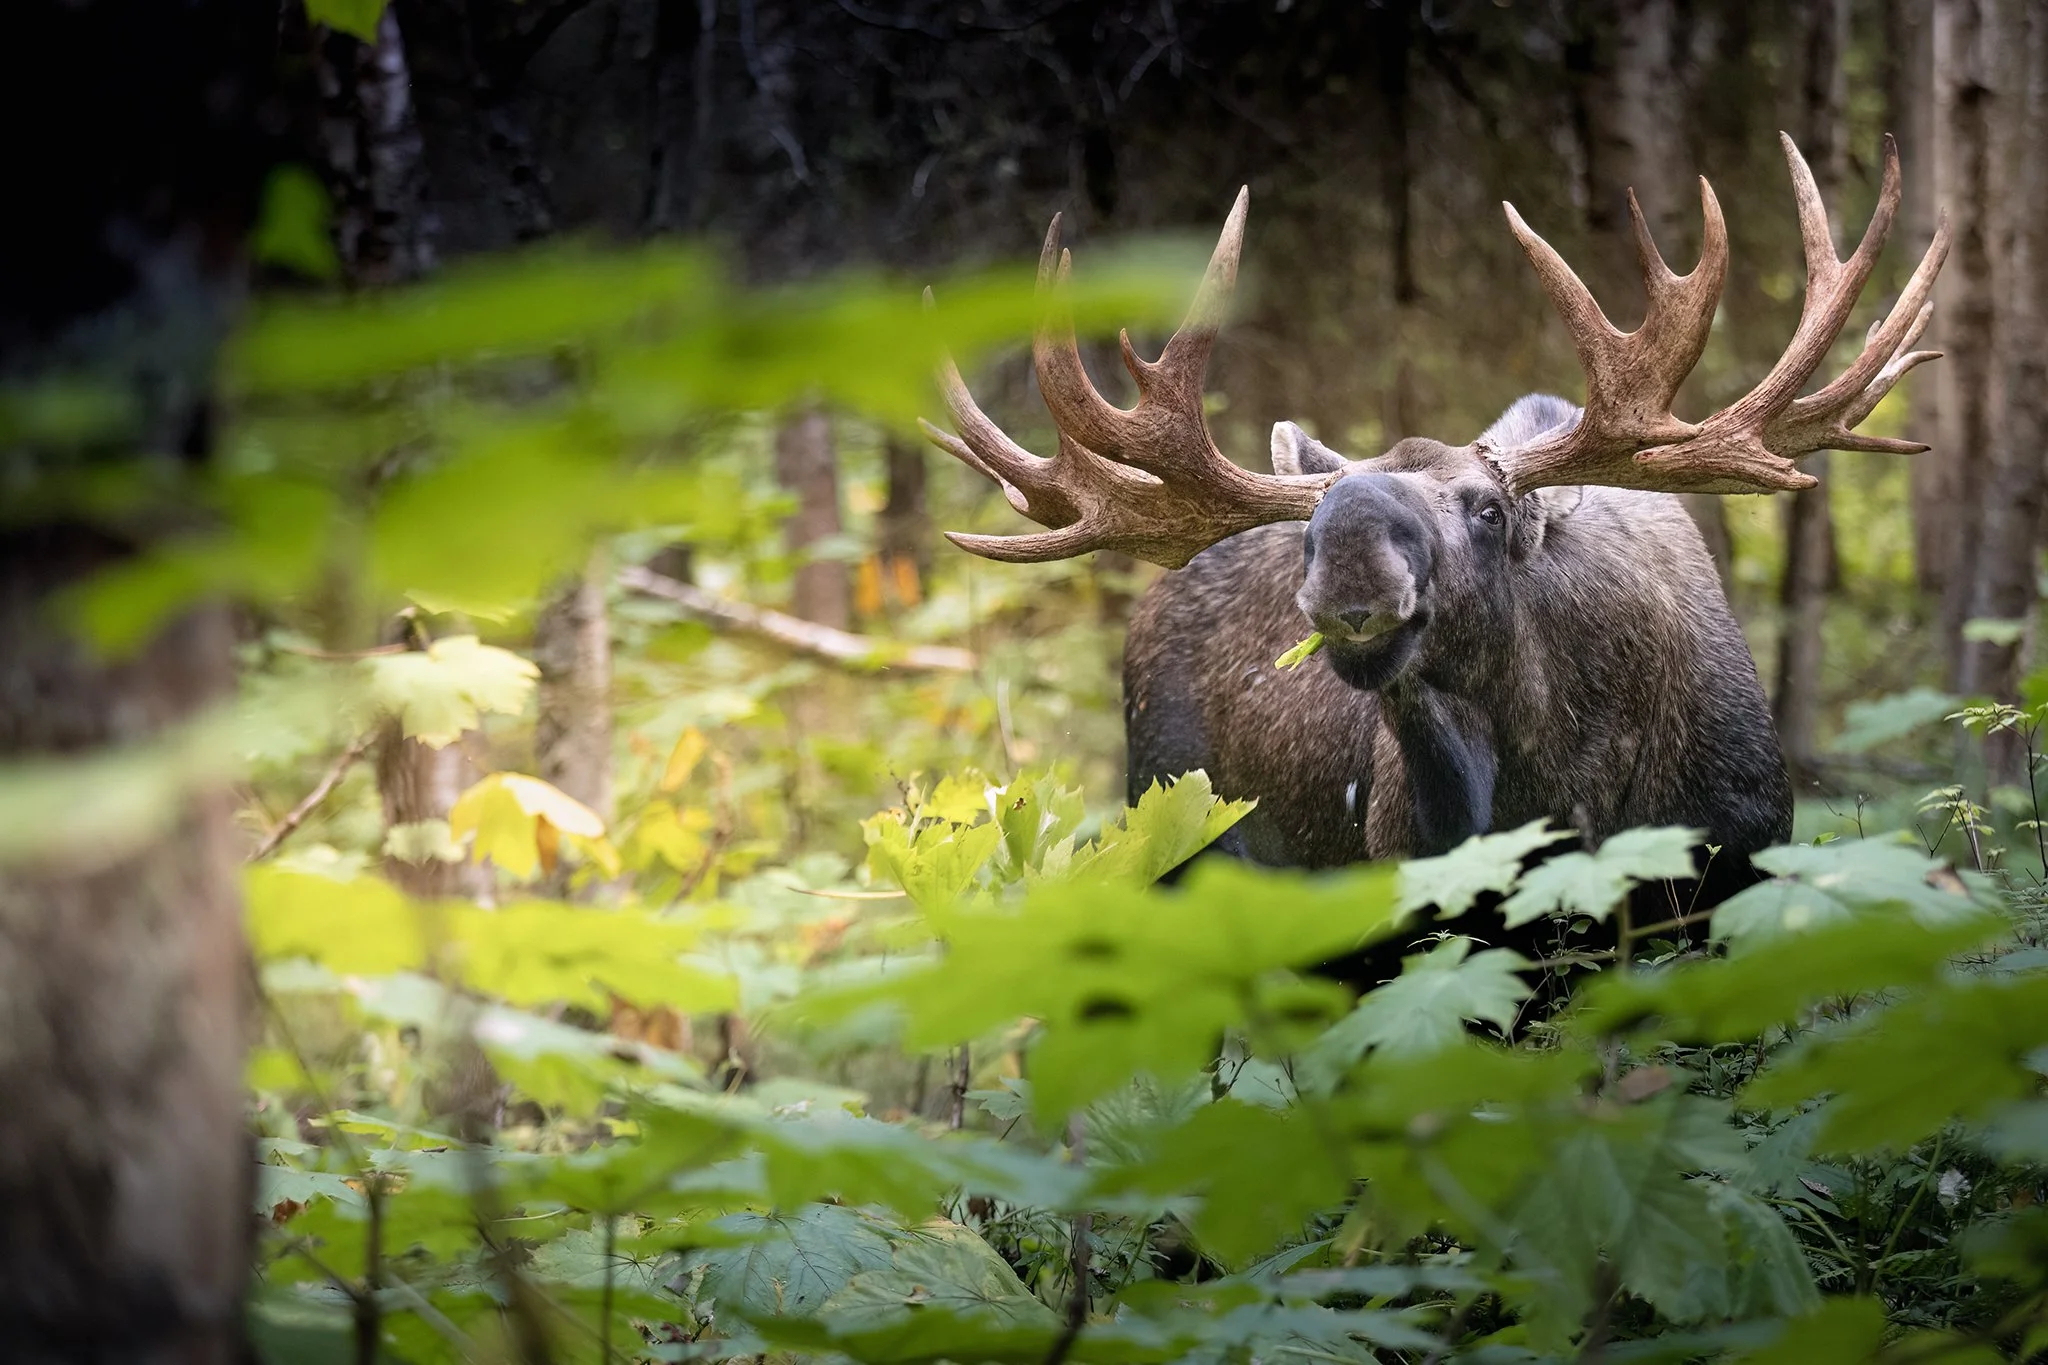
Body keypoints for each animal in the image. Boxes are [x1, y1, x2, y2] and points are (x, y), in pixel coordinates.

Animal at [920, 135, 1949, 966]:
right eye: (1312, 522)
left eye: (1489, 509)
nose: (1349, 558)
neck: (1568, 790)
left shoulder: (1732, 878)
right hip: (1175, 845)